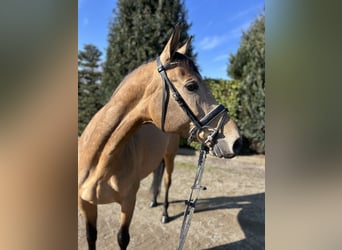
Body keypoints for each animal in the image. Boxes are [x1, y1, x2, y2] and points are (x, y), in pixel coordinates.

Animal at [79, 23, 242, 250]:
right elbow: (90, 237)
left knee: (166, 182)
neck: (100, 164)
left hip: (170, 157)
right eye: (191, 85)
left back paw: (164, 213)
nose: (236, 141)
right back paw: (153, 201)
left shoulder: (128, 203)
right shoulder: (86, 204)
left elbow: (122, 238)